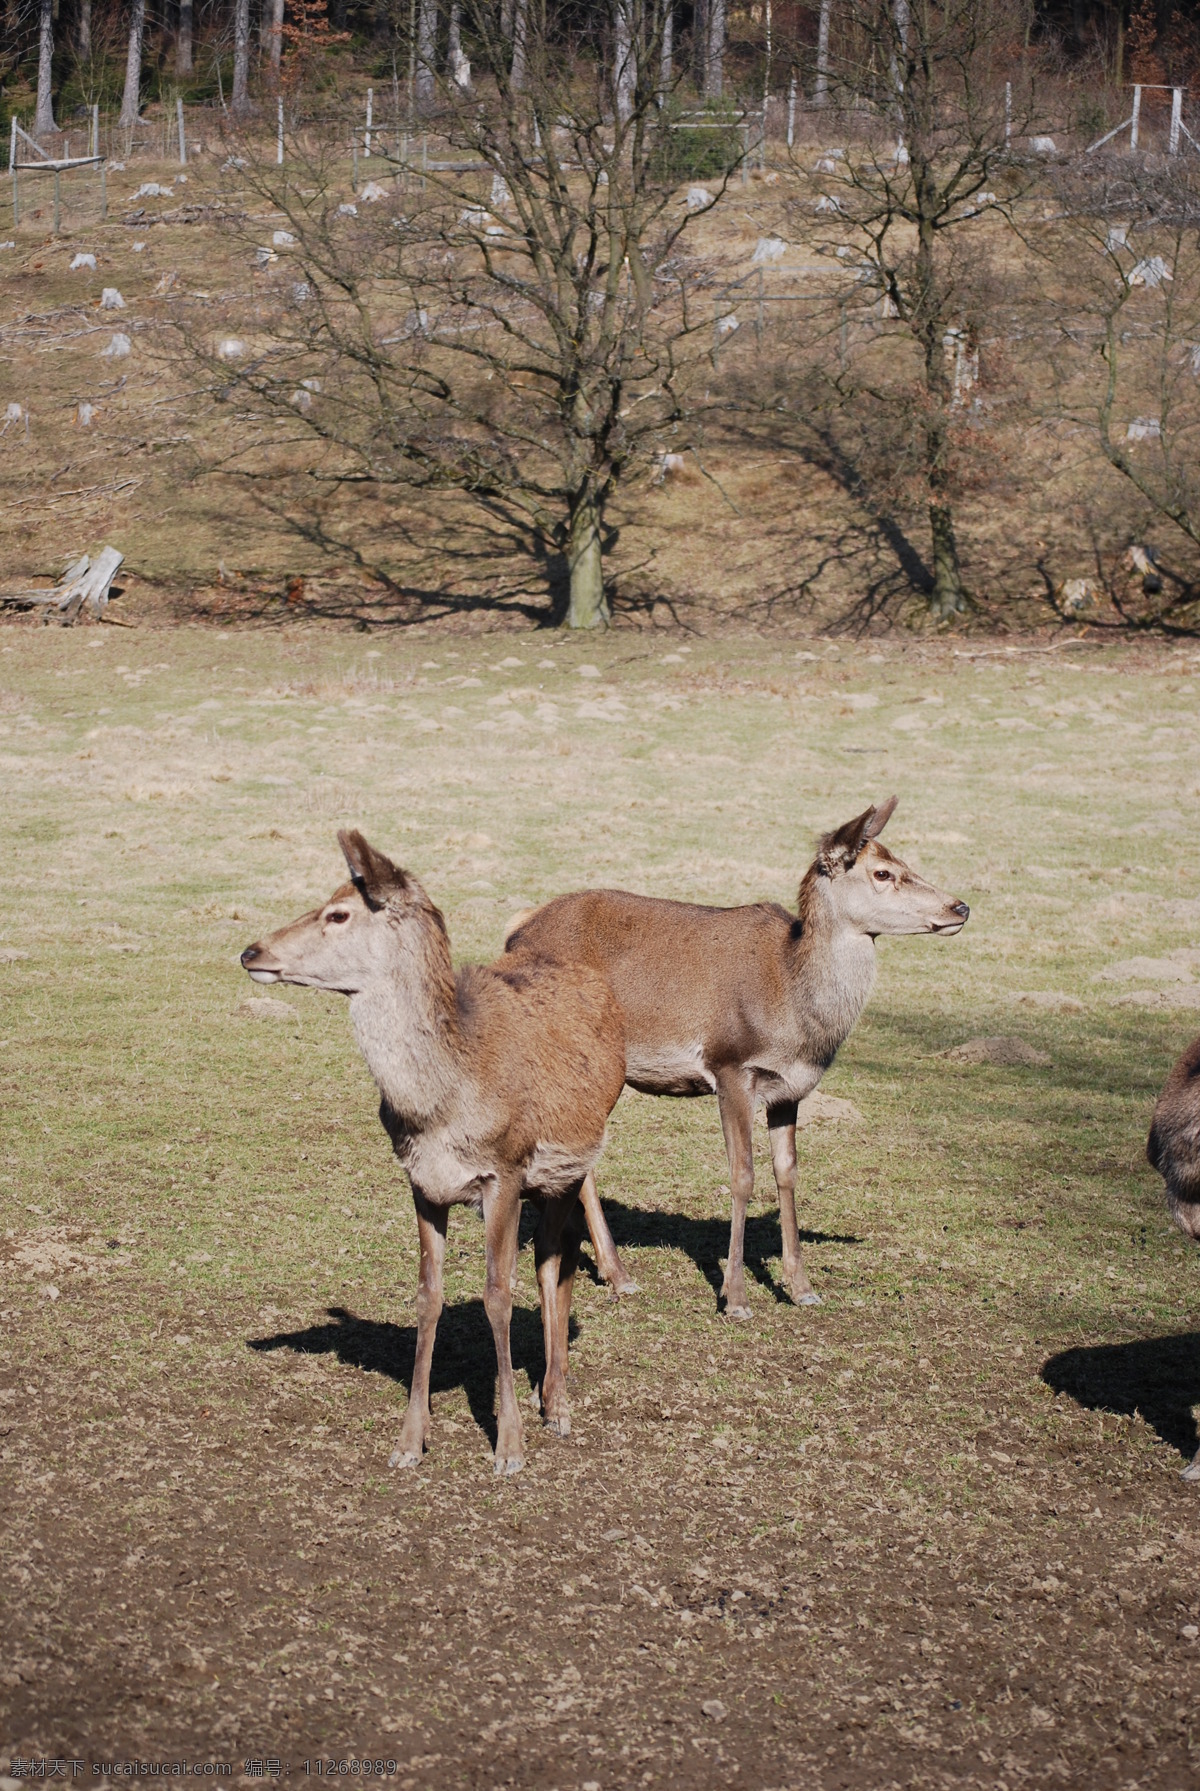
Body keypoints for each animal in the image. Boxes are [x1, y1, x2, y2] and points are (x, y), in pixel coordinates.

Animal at [240, 831, 626, 1475]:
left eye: (338, 913)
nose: (251, 951)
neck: (440, 1107)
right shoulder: (422, 1182)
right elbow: (428, 1297)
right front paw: (409, 1440)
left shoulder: (505, 1171)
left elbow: (498, 1296)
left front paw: (509, 1446)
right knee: (555, 1255)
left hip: (572, 1161)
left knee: (557, 1261)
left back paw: (558, 1403)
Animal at [505, 798, 967, 1318]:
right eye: (883, 872)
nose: (960, 906)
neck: (792, 1010)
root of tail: (515, 930)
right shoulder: (730, 1066)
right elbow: (742, 1175)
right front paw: (736, 1297)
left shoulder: (789, 1088)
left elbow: (787, 1172)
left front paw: (802, 1287)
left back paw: (616, 1274)